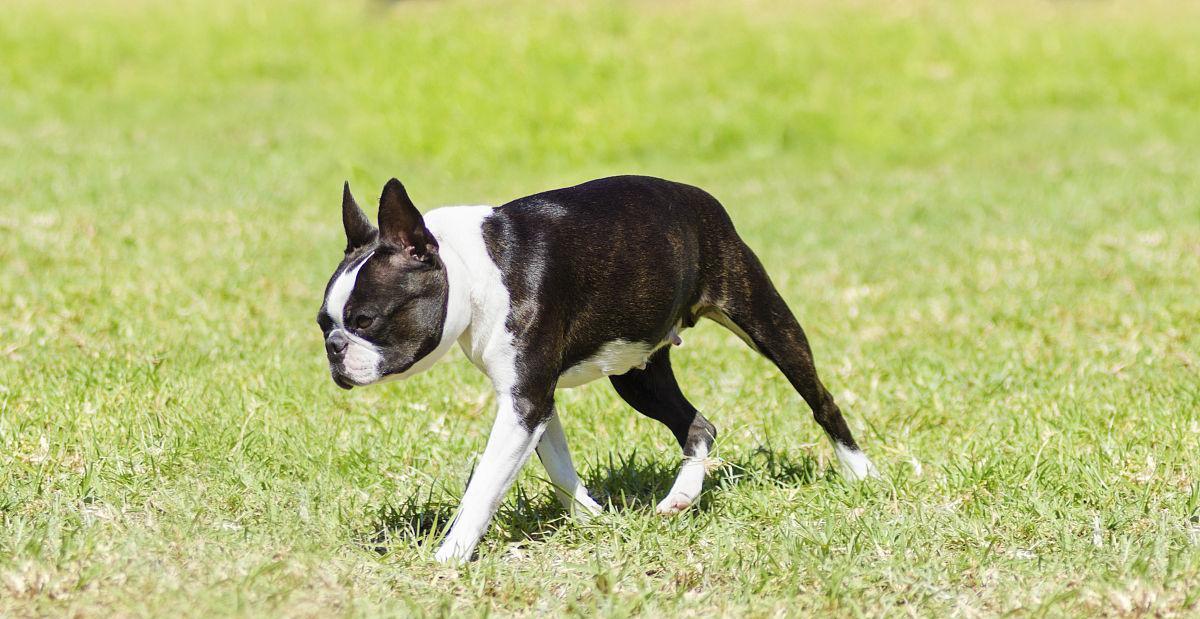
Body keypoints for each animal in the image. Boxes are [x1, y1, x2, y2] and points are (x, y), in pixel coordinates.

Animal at [319, 173, 883, 561]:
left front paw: (449, 557)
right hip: (636, 372)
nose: (335, 348)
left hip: (762, 319)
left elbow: (484, 485)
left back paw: (862, 474)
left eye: (365, 320)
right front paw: (595, 518)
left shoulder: (525, 401)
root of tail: (701, 199)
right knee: (698, 425)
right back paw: (681, 496)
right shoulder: (532, 400)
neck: (469, 268)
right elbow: (558, 468)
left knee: (820, 400)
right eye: (324, 323)